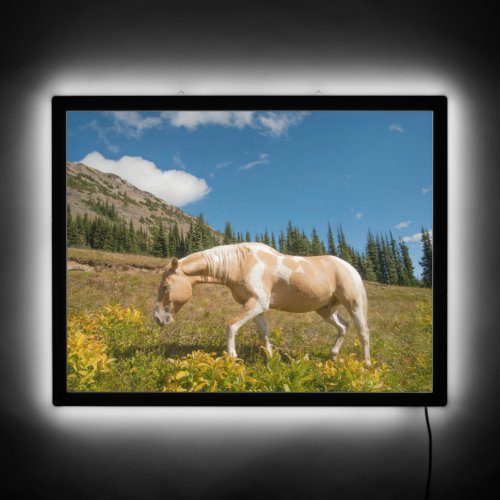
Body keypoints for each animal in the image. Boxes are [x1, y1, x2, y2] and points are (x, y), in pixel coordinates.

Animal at [153, 243, 372, 366]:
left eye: (166, 286)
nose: (158, 318)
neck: (242, 263)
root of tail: (350, 267)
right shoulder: (255, 307)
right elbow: (264, 334)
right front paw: (271, 360)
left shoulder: (257, 304)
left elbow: (231, 326)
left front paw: (232, 358)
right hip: (325, 309)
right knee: (343, 327)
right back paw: (333, 357)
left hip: (354, 304)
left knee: (363, 332)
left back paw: (367, 364)